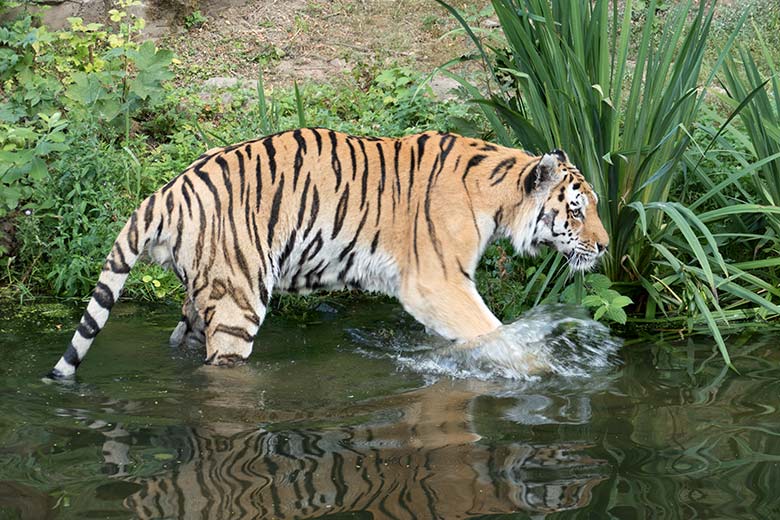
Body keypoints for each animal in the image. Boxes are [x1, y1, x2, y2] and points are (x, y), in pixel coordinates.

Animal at [47, 127, 608, 378]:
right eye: (577, 210)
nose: (604, 246)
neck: (496, 192)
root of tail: (167, 191)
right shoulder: (438, 283)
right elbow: (493, 331)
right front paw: (540, 369)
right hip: (237, 300)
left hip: (199, 299)